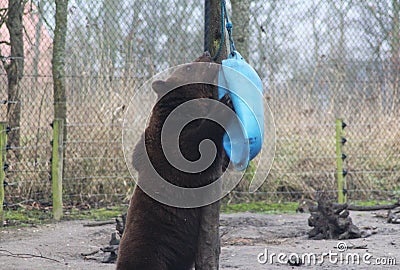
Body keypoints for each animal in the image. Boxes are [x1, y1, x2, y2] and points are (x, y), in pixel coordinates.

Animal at [115, 51, 233, 270]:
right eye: (188, 66)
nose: (206, 53)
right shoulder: (171, 144)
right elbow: (198, 149)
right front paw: (226, 103)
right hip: (152, 252)